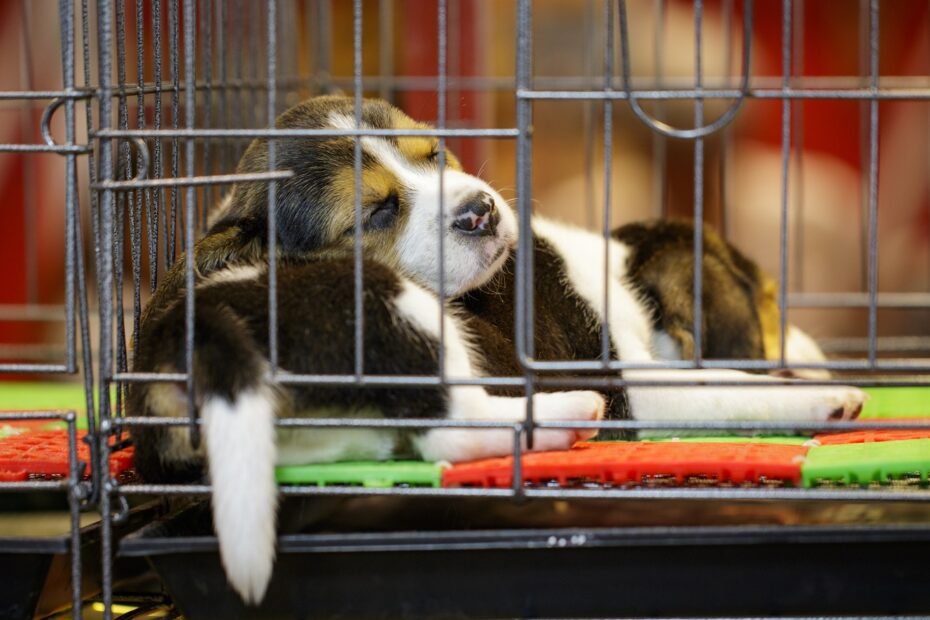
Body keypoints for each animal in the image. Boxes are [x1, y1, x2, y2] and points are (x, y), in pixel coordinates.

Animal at [127, 97, 868, 604]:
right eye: (375, 212)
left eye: (435, 155)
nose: (481, 209)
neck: (625, 286)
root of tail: (199, 325)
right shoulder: (641, 390)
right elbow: (730, 389)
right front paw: (825, 394)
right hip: (400, 307)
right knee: (453, 425)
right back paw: (571, 412)